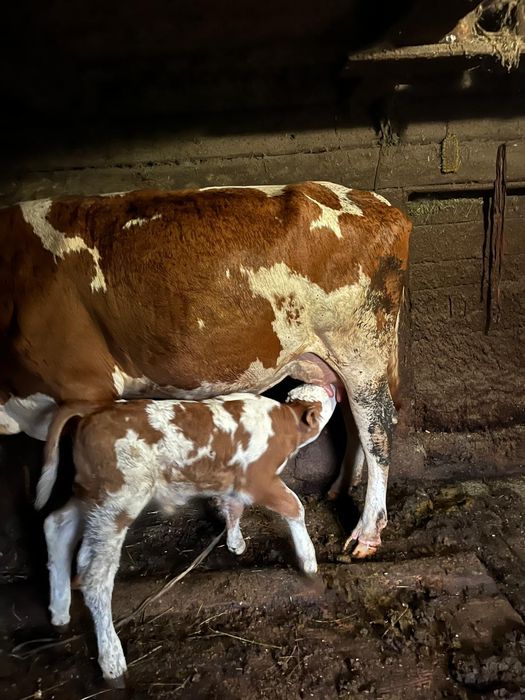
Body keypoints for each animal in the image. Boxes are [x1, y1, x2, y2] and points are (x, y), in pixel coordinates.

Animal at [0, 181, 411, 556]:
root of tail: (379, 203)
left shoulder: (86, 386)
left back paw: (366, 533)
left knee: (377, 430)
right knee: (353, 419)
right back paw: (341, 488)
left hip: (360, 351)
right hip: (333, 360)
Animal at [35, 383, 337, 685]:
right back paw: (112, 660)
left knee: (56, 524)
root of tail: (95, 409)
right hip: (117, 502)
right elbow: (294, 507)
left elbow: (234, 507)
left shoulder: (236, 483)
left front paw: (235, 542)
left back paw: (59, 610)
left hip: (90, 495)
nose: (333, 387)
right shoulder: (258, 481)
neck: (284, 421)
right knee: (95, 577)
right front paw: (309, 562)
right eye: (327, 397)